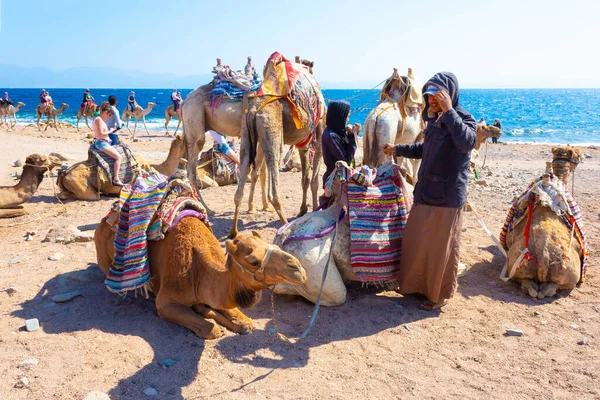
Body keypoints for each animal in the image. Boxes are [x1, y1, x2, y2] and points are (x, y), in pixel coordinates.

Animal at [96, 216, 310, 338]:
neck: (198, 272)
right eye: (254, 261)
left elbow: (243, 320)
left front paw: (239, 323)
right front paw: (216, 326)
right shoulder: (165, 301)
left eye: (268, 244)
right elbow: (210, 329)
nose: (297, 267)